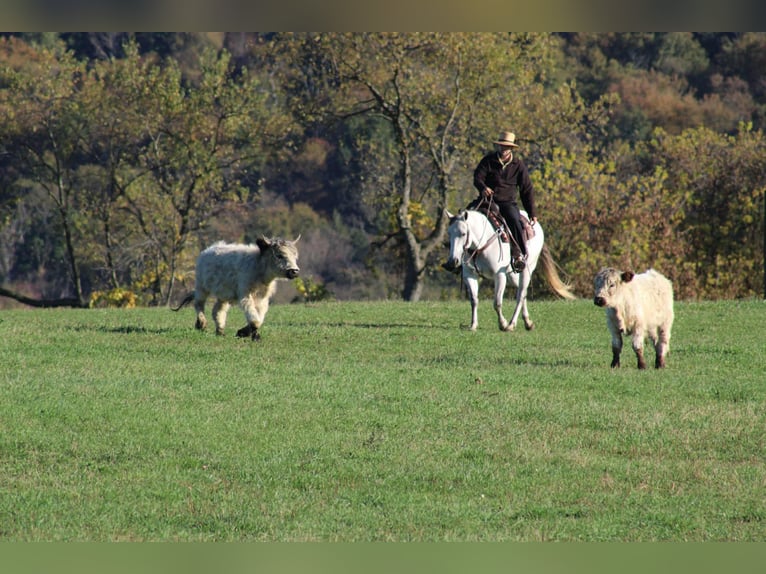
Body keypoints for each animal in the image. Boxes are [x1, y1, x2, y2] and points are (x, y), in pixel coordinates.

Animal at [444, 209, 576, 332]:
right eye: (449, 233)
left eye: (463, 233)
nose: (453, 261)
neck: (480, 245)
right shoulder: (469, 275)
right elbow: (474, 300)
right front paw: (473, 325)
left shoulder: (499, 276)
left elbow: (497, 303)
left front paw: (503, 324)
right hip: (512, 275)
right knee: (522, 292)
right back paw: (528, 322)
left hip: (526, 270)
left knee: (521, 295)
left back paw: (512, 324)